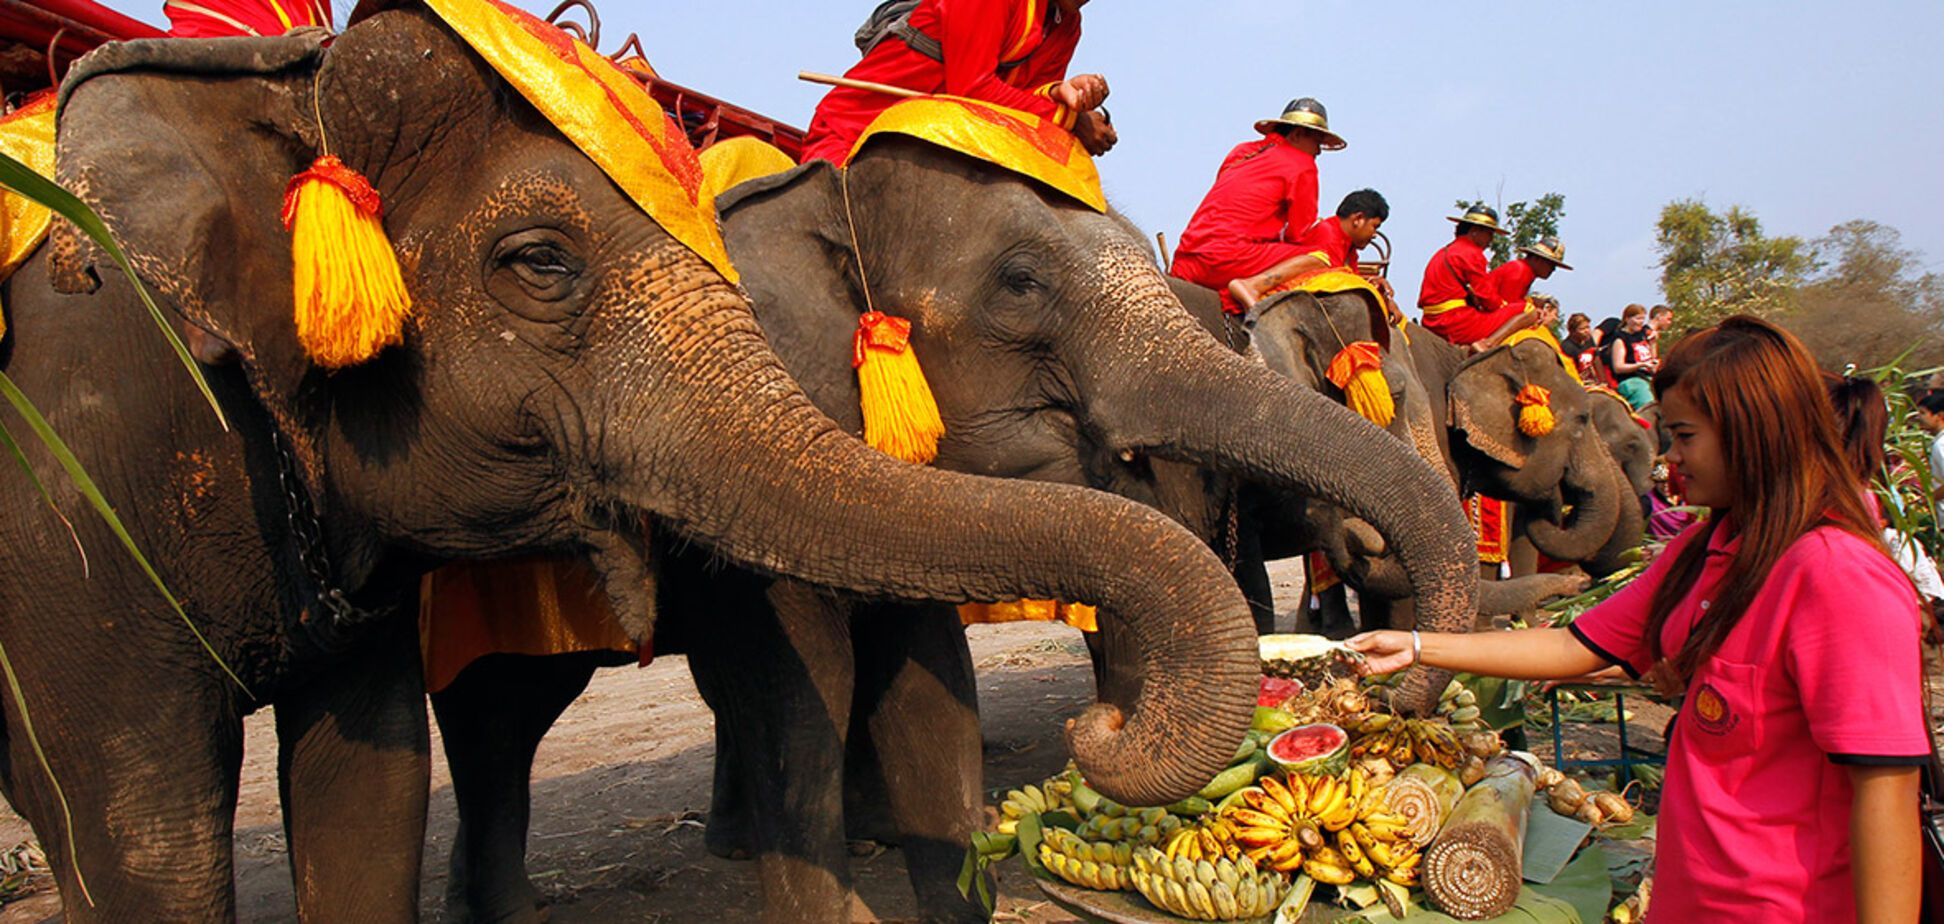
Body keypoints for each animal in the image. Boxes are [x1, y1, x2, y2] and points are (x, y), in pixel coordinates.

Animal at [0, 5, 1267, 918]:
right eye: (1023, 283)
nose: (1100, 731)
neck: (267, 80)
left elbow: (925, 702)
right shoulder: (69, 491)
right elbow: (146, 832)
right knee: (500, 719)